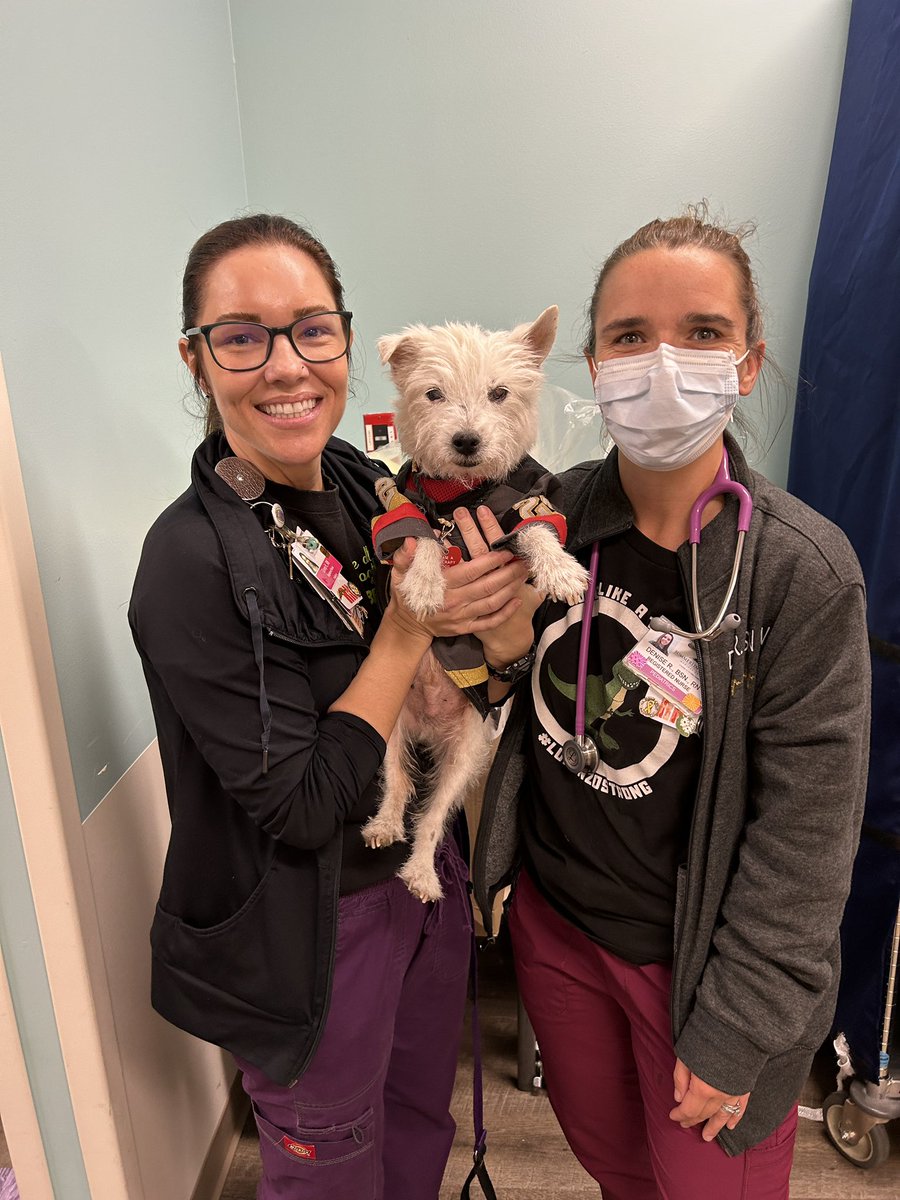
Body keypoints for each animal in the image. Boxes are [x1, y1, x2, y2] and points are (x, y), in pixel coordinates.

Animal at [362, 309, 588, 902]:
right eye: (433, 393)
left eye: (500, 393)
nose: (466, 440)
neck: (459, 494)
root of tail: (427, 726)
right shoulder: (399, 510)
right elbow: (421, 538)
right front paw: (423, 584)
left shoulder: (526, 501)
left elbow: (538, 529)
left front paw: (560, 571)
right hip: (387, 724)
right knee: (398, 783)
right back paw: (385, 824)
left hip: (466, 752)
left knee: (433, 815)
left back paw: (420, 871)